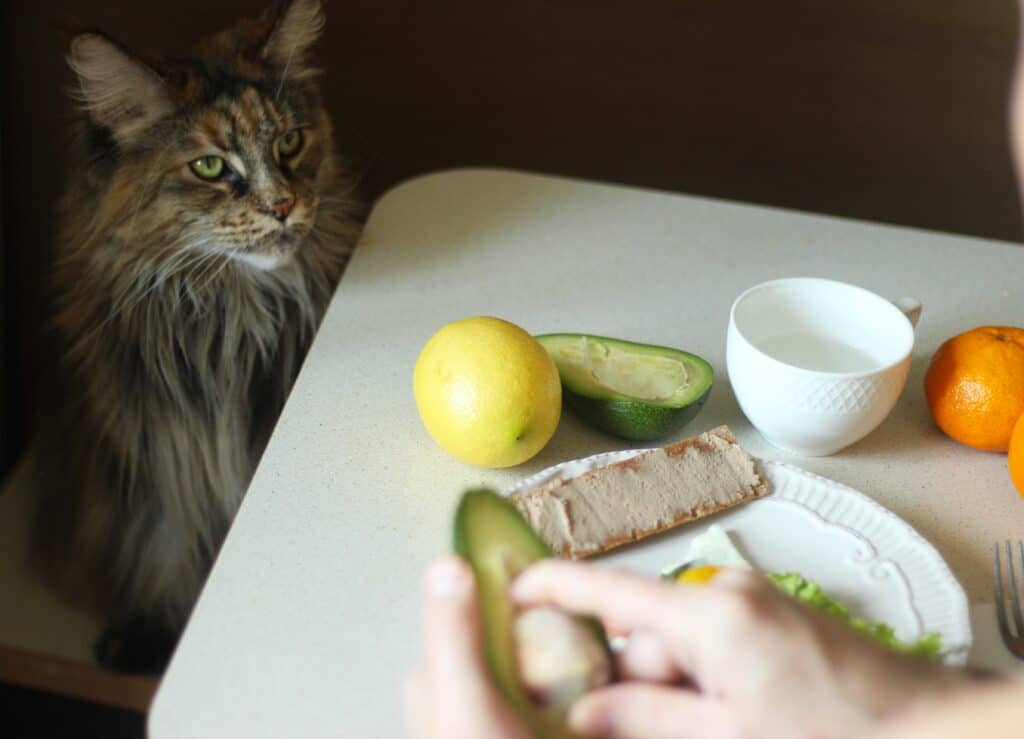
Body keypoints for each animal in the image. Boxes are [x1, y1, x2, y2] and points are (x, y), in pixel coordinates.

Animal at [35, 0, 360, 667]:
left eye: (290, 142)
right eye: (210, 166)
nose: (282, 206)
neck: (228, 317)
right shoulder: (158, 449)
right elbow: (164, 540)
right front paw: (153, 629)